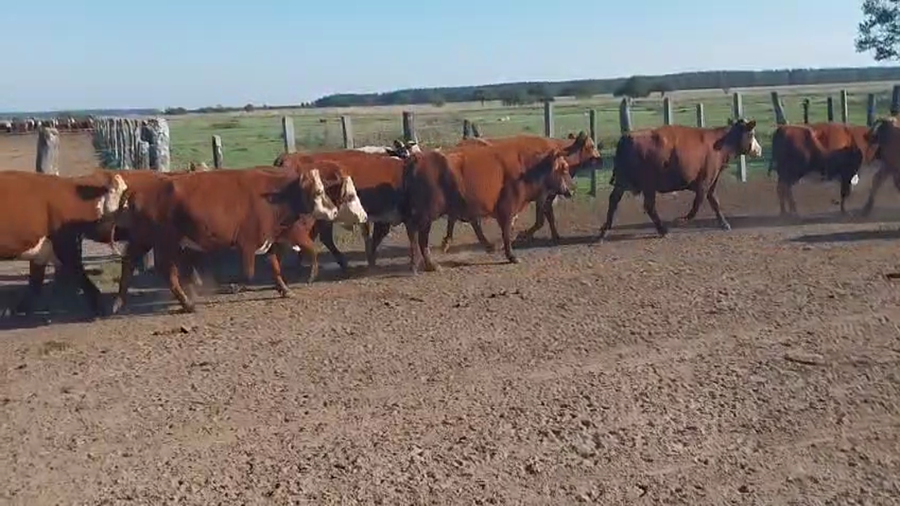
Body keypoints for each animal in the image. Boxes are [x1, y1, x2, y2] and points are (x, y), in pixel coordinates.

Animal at [109, 167, 340, 313]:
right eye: (319, 191)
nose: (335, 211)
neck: (273, 197)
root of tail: (141, 190)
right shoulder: (247, 244)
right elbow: (248, 273)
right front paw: (233, 286)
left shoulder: (267, 241)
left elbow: (275, 267)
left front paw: (284, 289)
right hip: (165, 243)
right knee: (166, 271)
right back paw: (187, 304)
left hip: (144, 239)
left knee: (129, 263)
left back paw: (119, 303)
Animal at [402, 145, 575, 273]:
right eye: (564, 168)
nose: (571, 191)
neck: (526, 170)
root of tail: (417, 159)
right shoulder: (507, 210)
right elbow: (506, 233)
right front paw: (512, 256)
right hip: (427, 215)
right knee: (419, 236)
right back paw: (430, 264)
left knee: (413, 232)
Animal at [439, 131, 602, 252]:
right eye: (592, 145)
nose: (599, 158)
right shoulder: (541, 196)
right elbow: (540, 220)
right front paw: (523, 235)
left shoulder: (547, 196)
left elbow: (548, 216)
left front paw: (556, 236)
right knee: (465, 218)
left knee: (458, 217)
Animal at [596, 119, 763, 240]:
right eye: (751, 134)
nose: (759, 150)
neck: (720, 143)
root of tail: (626, 137)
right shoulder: (705, 181)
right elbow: (698, 203)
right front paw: (682, 219)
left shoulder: (711, 182)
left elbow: (714, 202)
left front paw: (724, 224)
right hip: (648, 185)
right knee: (649, 206)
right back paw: (663, 230)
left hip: (622, 182)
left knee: (614, 201)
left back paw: (605, 230)